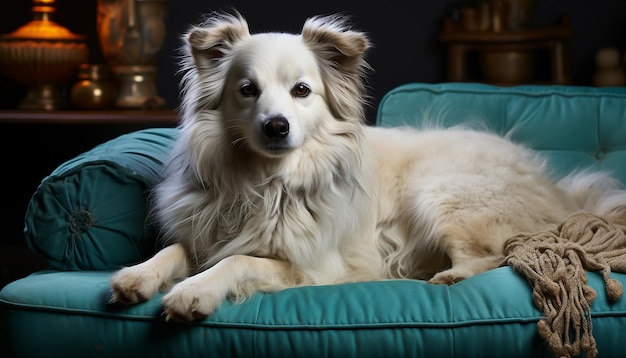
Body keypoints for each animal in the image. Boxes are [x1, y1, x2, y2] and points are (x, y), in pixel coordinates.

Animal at [109, 10, 624, 322]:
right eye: (246, 90)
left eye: (302, 90)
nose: (276, 126)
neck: (266, 183)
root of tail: (558, 191)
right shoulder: (207, 231)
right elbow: (177, 249)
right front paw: (139, 275)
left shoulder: (314, 268)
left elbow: (237, 259)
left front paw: (193, 292)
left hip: (439, 192)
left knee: (496, 255)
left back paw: (448, 278)